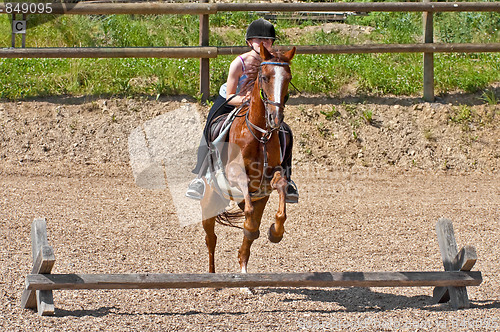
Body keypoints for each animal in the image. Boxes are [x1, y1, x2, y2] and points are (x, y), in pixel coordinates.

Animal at [200, 44, 294, 272]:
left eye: (288, 78)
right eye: (265, 77)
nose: (275, 118)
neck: (260, 135)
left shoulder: (271, 176)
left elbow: (280, 190)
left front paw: (275, 232)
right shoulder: (235, 174)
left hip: (257, 198)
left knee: (249, 229)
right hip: (209, 201)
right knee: (211, 238)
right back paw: (211, 275)